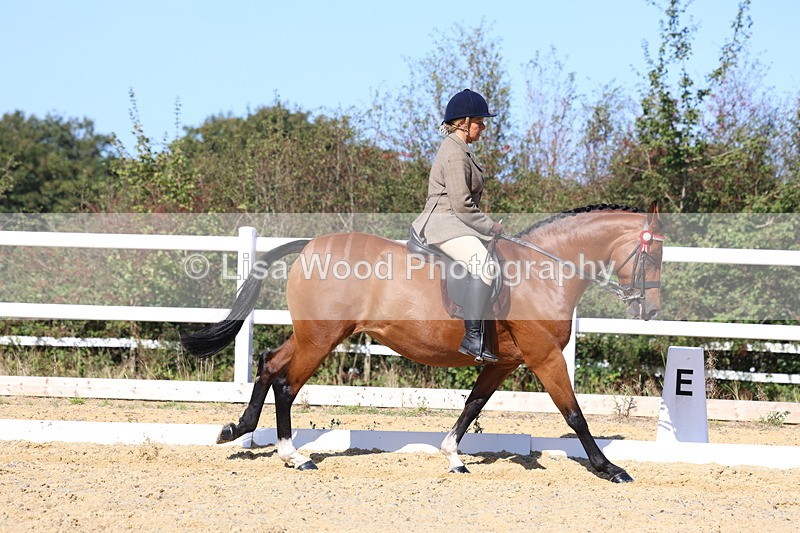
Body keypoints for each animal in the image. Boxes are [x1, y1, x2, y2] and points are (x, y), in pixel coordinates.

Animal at [181, 202, 665, 483]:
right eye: (656, 253)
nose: (651, 310)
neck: (543, 272)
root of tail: (310, 245)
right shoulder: (545, 358)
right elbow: (575, 416)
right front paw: (609, 468)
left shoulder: (503, 362)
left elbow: (472, 406)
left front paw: (453, 456)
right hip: (321, 338)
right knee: (286, 384)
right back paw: (293, 455)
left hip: (312, 335)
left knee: (268, 362)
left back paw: (237, 429)